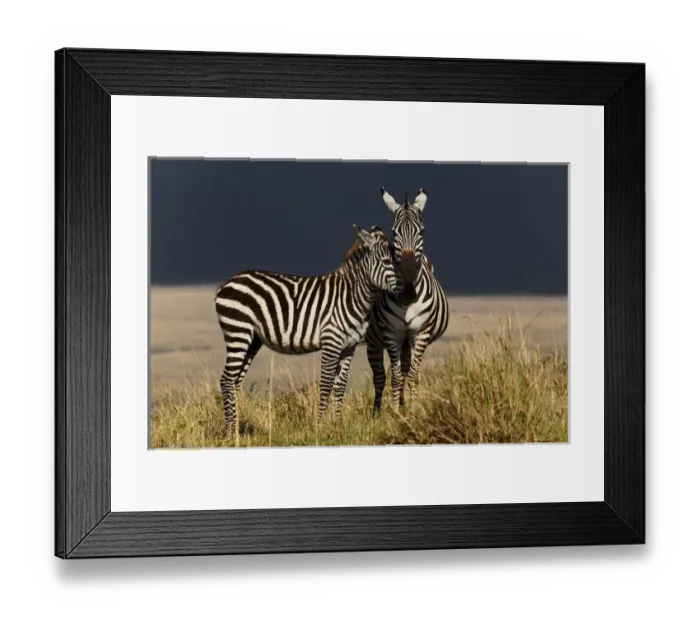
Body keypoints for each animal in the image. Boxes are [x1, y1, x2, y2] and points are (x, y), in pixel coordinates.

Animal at [214, 224, 400, 436]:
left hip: (252, 340)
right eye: (386, 262)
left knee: (235, 381)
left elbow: (341, 384)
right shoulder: (331, 341)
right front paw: (320, 426)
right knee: (226, 380)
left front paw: (337, 426)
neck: (352, 296)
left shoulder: (349, 346)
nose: (406, 289)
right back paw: (230, 433)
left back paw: (236, 431)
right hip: (238, 332)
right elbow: (326, 383)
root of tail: (226, 284)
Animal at [365, 188, 450, 413]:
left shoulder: (420, 332)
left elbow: (412, 374)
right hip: (375, 341)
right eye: (395, 232)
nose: (410, 271)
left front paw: (413, 409)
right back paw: (377, 413)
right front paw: (395, 413)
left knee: (405, 370)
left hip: (407, 339)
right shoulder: (391, 333)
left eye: (422, 232)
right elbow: (394, 377)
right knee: (379, 377)